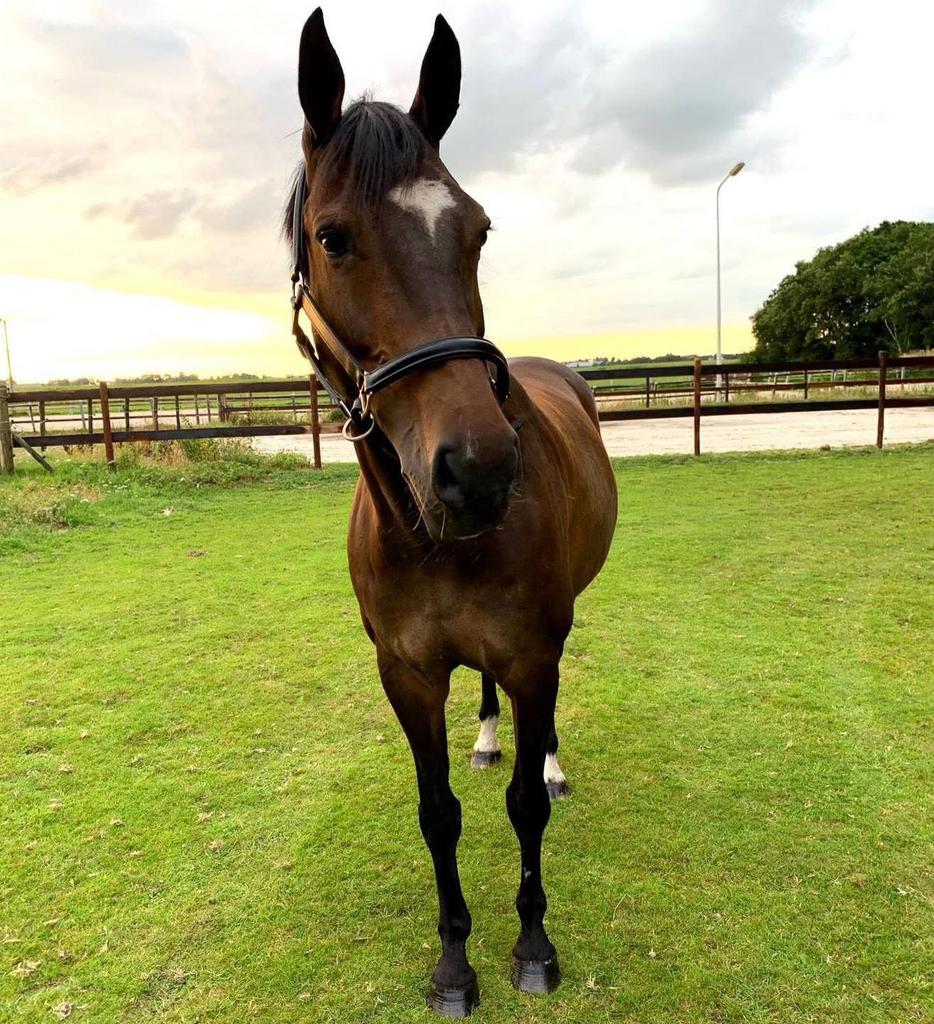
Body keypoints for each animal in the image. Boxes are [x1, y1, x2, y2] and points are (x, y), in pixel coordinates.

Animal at [284, 9, 617, 1016]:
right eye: (334, 237)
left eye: (477, 230)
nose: (477, 470)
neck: (431, 540)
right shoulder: (407, 674)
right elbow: (439, 814)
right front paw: (453, 961)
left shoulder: (535, 652)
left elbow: (524, 809)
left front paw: (534, 947)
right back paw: (488, 737)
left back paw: (544, 755)